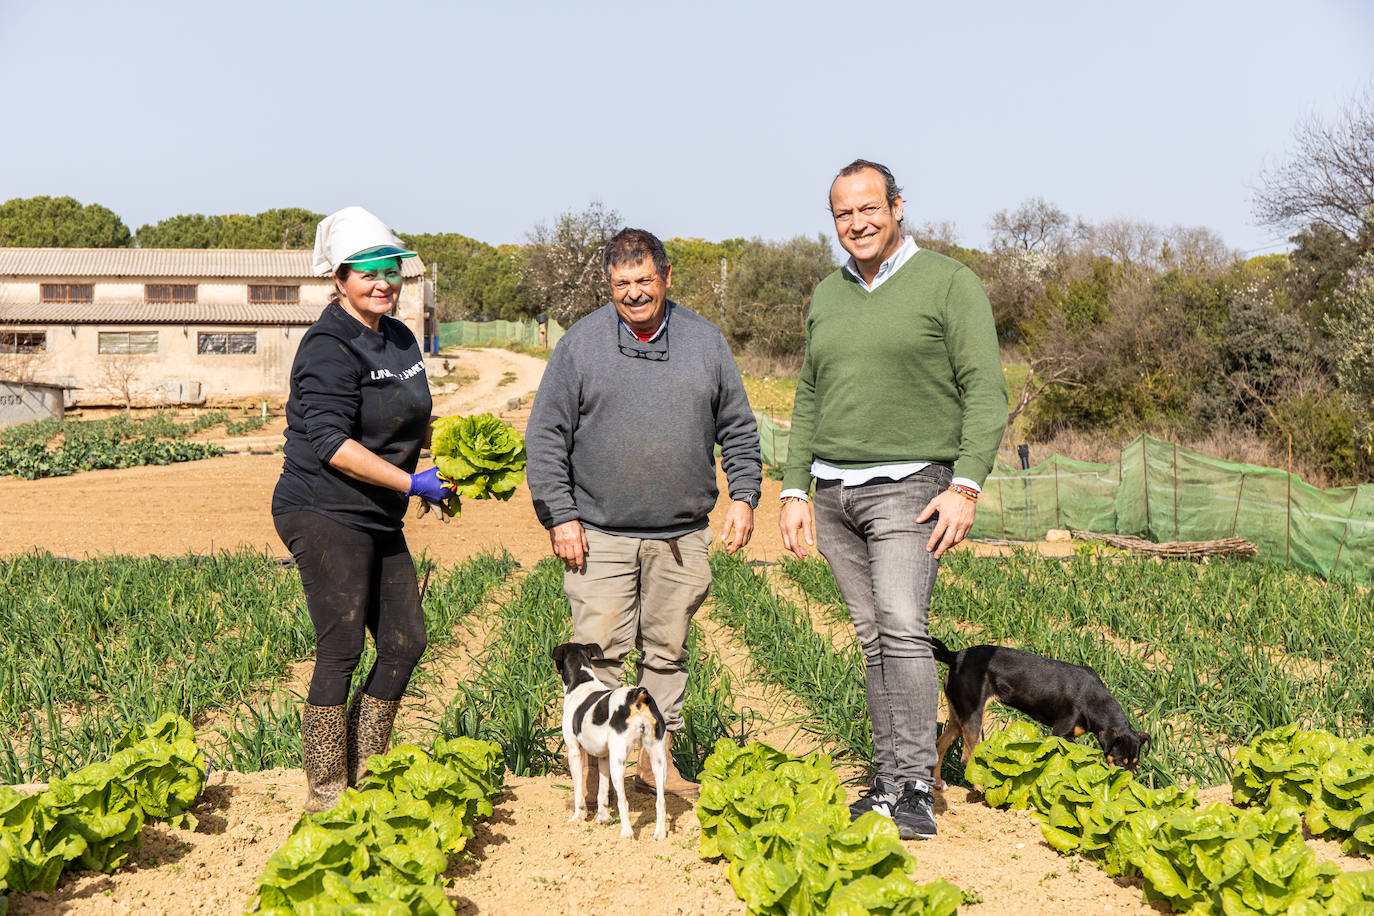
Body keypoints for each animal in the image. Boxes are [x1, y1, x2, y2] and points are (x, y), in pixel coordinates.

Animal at [552, 642, 670, 840]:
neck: (581, 681)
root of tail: (637, 694)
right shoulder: (603, 756)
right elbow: (602, 792)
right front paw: (603, 818)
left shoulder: (574, 752)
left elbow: (578, 792)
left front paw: (578, 818)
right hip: (657, 758)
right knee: (660, 800)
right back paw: (659, 834)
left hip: (619, 760)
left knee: (623, 800)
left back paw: (627, 834)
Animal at [934, 637, 1148, 791]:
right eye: (1119, 762)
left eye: (1135, 764)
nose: (1126, 787)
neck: (1094, 700)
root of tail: (955, 656)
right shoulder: (1060, 733)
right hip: (974, 716)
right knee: (967, 759)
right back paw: (982, 792)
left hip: (958, 716)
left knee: (939, 746)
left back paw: (938, 783)